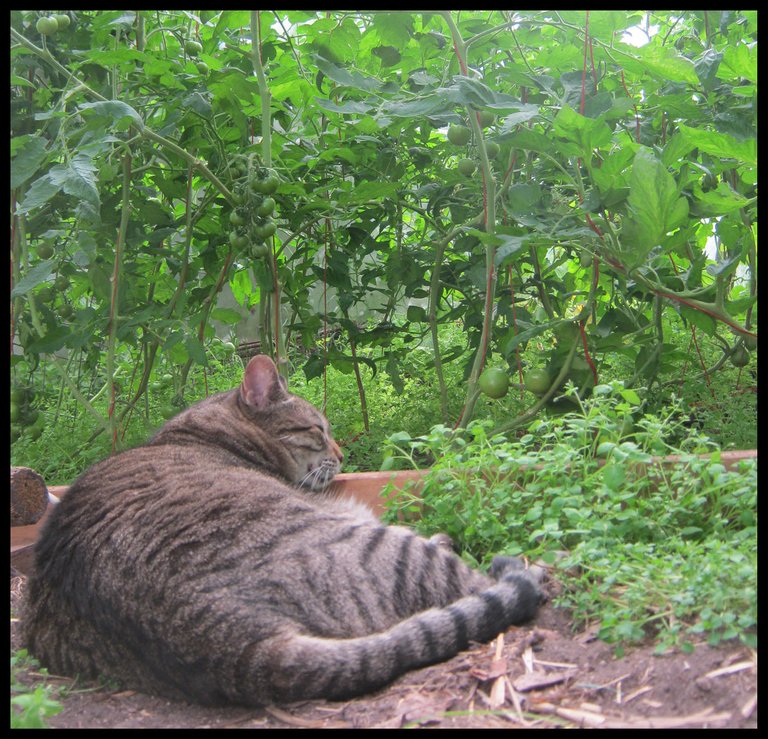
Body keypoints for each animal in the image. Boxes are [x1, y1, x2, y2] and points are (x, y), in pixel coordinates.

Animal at [21, 356, 544, 708]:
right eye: (317, 429)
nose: (344, 454)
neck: (199, 434)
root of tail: (239, 648)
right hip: (378, 547)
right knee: (484, 582)